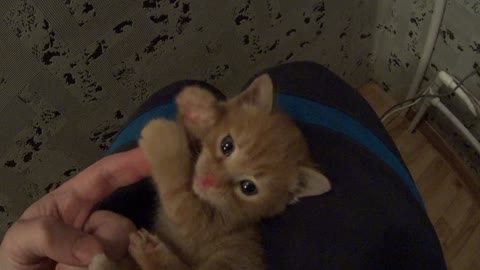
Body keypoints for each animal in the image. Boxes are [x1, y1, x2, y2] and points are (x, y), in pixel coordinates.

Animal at [88, 74, 332, 270]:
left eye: (248, 188)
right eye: (226, 145)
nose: (209, 181)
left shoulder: (203, 227)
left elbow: (179, 198)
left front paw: (164, 139)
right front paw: (201, 110)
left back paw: (142, 251)